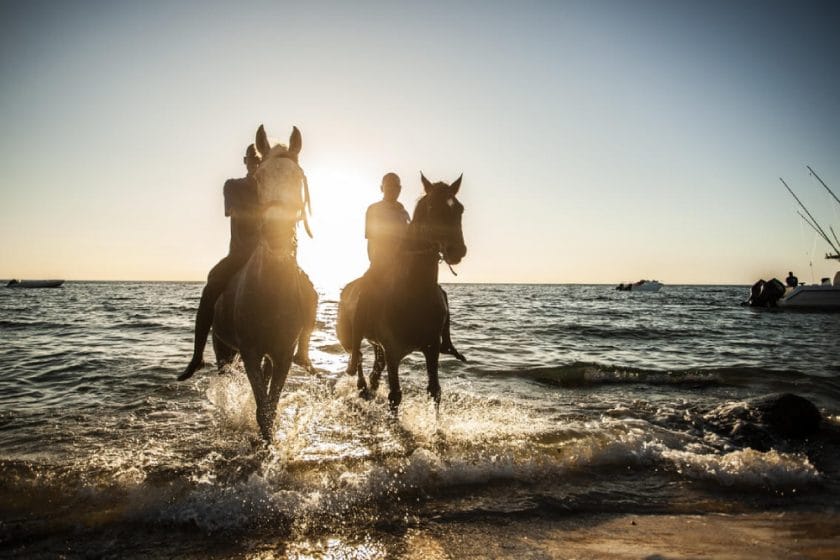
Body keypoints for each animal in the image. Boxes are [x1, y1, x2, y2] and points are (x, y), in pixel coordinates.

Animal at [213, 124, 318, 440]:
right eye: (259, 179)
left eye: (297, 177)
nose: (276, 234)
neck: (272, 289)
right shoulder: (249, 352)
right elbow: (263, 408)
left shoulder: (282, 354)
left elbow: (270, 406)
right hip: (223, 349)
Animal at [336, 173, 466, 414]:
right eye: (432, 207)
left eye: (459, 209)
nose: (457, 251)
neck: (414, 292)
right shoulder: (393, 351)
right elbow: (395, 396)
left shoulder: (432, 348)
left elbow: (435, 391)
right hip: (349, 339)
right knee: (357, 358)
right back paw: (361, 387)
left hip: (377, 345)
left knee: (375, 368)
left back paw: (369, 388)